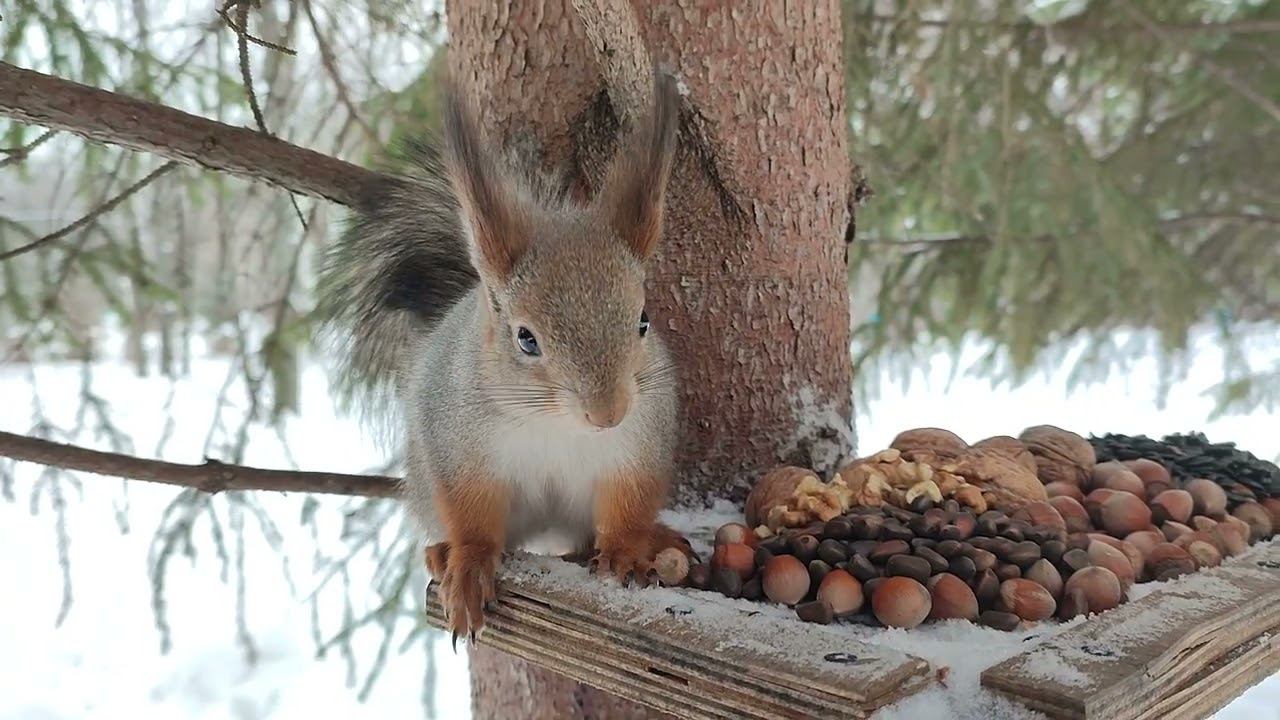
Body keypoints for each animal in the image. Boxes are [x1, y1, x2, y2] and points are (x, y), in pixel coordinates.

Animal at [318, 72, 690, 643]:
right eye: (526, 339)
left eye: (643, 320)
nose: (608, 414)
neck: (556, 424)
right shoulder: (458, 445)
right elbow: (472, 516)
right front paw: (469, 569)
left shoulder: (637, 447)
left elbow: (627, 506)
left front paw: (628, 552)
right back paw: (440, 552)